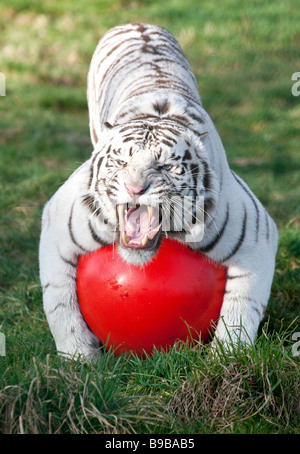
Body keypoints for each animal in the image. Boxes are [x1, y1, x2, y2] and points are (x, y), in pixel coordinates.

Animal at [38, 23, 278, 360]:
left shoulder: (256, 235)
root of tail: (137, 23)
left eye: (166, 166)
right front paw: (80, 358)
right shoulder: (59, 222)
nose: (135, 188)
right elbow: (59, 303)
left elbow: (242, 310)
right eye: (121, 161)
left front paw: (227, 357)